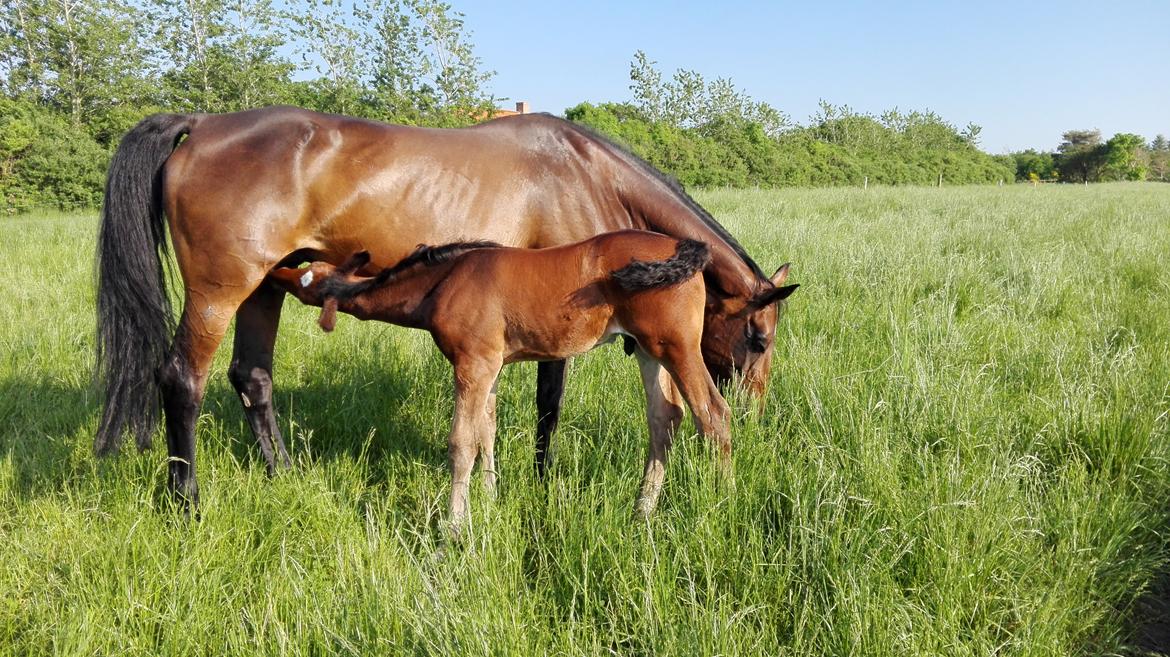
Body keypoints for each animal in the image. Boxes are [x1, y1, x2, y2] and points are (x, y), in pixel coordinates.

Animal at [269, 230, 800, 526]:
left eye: (306, 283)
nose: (276, 271)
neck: (442, 281)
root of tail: (687, 251)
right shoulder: (490, 367)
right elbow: (487, 432)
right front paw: (489, 501)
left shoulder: (473, 364)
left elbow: (461, 443)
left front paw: (453, 528)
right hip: (650, 351)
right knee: (664, 418)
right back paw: (642, 510)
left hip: (677, 348)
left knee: (713, 415)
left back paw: (722, 502)